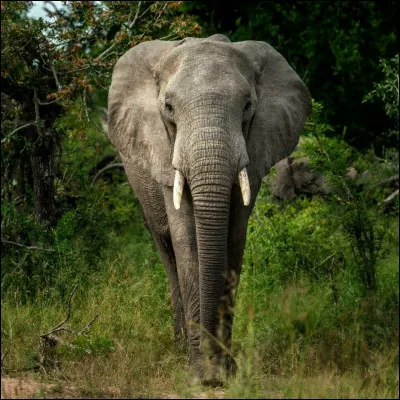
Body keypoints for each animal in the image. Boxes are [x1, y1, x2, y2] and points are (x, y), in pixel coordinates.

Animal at [107, 32, 312, 382]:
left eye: (247, 106)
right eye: (168, 108)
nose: (211, 371)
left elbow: (233, 239)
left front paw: (224, 371)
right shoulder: (163, 152)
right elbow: (187, 241)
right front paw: (199, 372)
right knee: (167, 252)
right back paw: (178, 349)